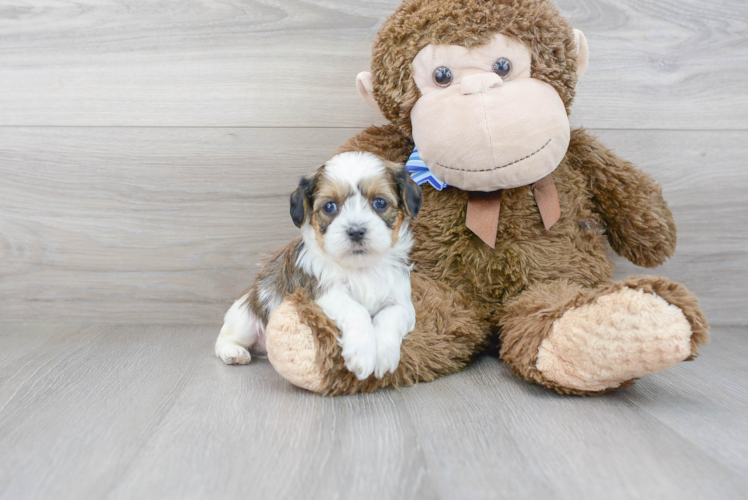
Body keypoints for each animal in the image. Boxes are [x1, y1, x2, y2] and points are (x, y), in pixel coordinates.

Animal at [216, 151, 424, 378]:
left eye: (380, 203)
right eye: (329, 206)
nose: (356, 231)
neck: (361, 268)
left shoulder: (401, 302)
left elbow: (390, 316)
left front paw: (384, 357)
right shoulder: (321, 292)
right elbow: (355, 310)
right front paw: (362, 354)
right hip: (246, 316)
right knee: (224, 338)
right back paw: (233, 352)